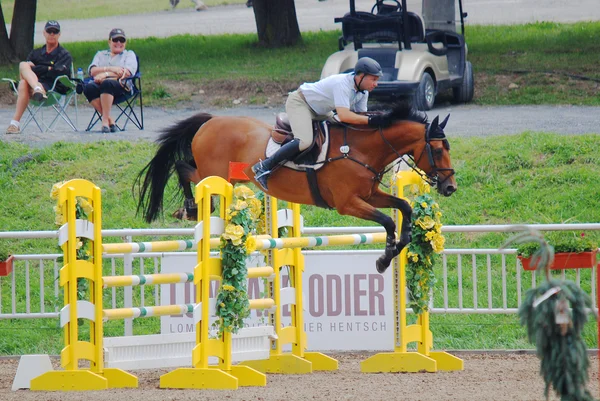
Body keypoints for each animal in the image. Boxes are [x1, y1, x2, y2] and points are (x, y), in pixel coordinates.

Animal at [135, 104, 454, 272]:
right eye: (438, 150)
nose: (450, 187)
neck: (361, 150)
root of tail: (211, 121)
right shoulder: (347, 203)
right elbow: (387, 220)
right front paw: (385, 258)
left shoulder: (370, 195)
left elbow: (405, 207)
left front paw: (401, 244)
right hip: (214, 174)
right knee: (183, 169)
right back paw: (190, 208)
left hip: (224, 175)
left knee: (185, 168)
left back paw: (188, 209)